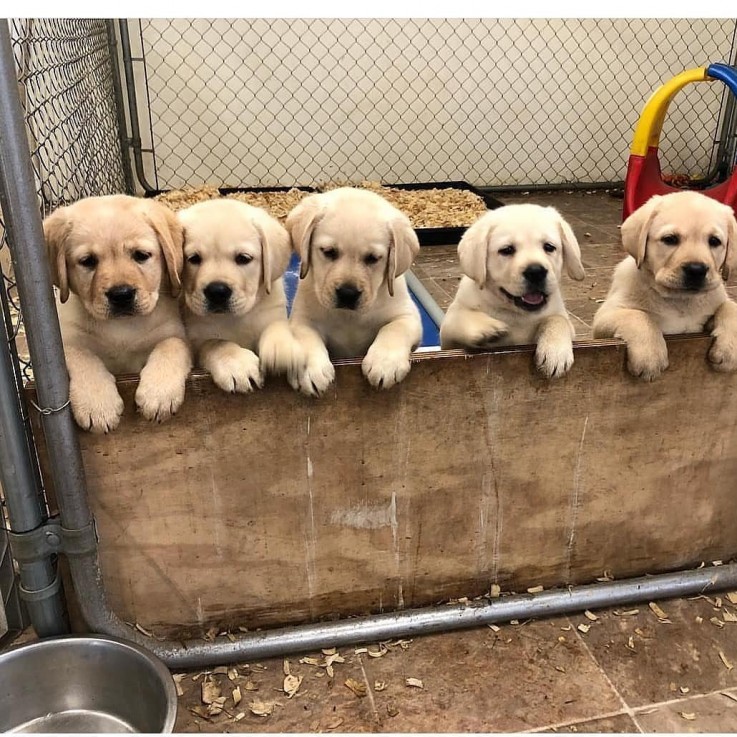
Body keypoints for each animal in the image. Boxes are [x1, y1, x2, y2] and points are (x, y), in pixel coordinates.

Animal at [42, 194, 193, 432]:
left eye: (141, 255)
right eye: (88, 261)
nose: (121, 295)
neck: (121, 327)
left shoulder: (173, 333)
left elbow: (171, 345)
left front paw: (158, 394)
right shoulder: (65, 342)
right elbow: (82, 356)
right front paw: (97, 405)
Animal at [177, 196, 298, 392]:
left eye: (243, 258)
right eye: (194, 258)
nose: (217, 291)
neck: (233, 319)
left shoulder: (273, 312)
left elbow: (277, 326)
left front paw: (281, 348)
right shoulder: (196, 340)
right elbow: (215, 343)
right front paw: (237, 364)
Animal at [286, 188, 422, 396]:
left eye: (373, 258)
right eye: (328, 252)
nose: (347, 294)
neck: (348, 317)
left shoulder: (408, 316)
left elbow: (394, 328)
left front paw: (384, 363)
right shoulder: (301, 319)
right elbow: (305, 337)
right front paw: (310, 371)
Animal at [440, 204, 584, 376]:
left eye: (549, 247)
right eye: (507, 250)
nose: (536, 271)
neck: (517, 315)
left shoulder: (561, 317)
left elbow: (558, 320)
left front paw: (555, 352)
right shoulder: (447, 338)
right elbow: (458, 317)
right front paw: (485, 327)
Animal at [592, 190, 736, 380]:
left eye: (714, 241)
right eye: (670, 239)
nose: (696, 269)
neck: (679, 301)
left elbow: (730, 307)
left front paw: (729, 350)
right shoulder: (604, 318)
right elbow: (638, 316)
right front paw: (650, 356)